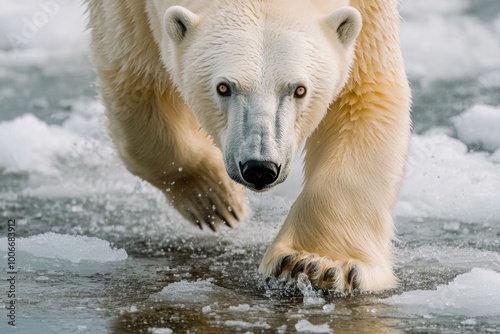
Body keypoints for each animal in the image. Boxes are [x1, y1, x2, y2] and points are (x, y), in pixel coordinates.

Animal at [86, 0, 410, 292]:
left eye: (299, 89)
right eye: (223, 87)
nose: (260, 168)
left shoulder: (371, 14)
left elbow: (367, 98)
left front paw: (316, 263)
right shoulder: (125, 12)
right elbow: (138, 88)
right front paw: (214, 198)